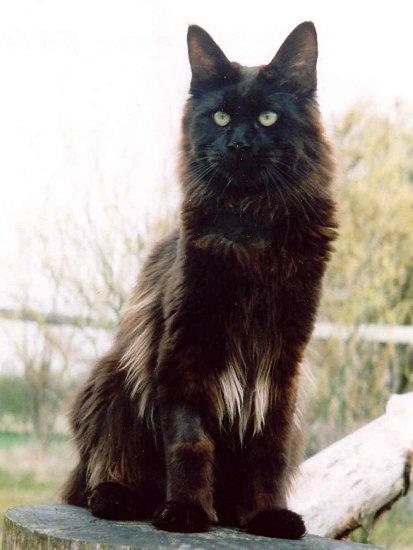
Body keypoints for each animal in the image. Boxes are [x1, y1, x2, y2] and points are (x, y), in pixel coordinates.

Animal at [62, 20, 336, 540]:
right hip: (114, 383)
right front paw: (186, 512)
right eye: (222, 118)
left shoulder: (283, 363)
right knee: (98, 475)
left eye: (268, 118)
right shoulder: (183, 351)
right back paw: (119, 498)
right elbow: (190, 445)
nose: (240, 145)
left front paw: (267, 515)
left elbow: (267, 451)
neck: (249, 226)